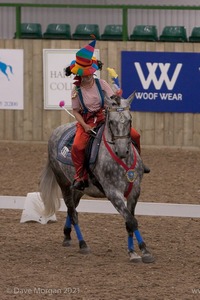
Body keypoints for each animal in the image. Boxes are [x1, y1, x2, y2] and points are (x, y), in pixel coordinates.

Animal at [39, 92, 155, 262]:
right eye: (111, 121)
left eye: (129, 120)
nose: (122, 150)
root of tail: (56, 131)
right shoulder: (113, 193)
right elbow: (131, 221)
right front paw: (142, 252)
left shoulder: (135, 191)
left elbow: (129, 221)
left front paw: (135, 252)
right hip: (63, 183)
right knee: (73, 212)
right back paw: (83, 244)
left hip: (79, 188)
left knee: (71, 209)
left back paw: (67, 236)